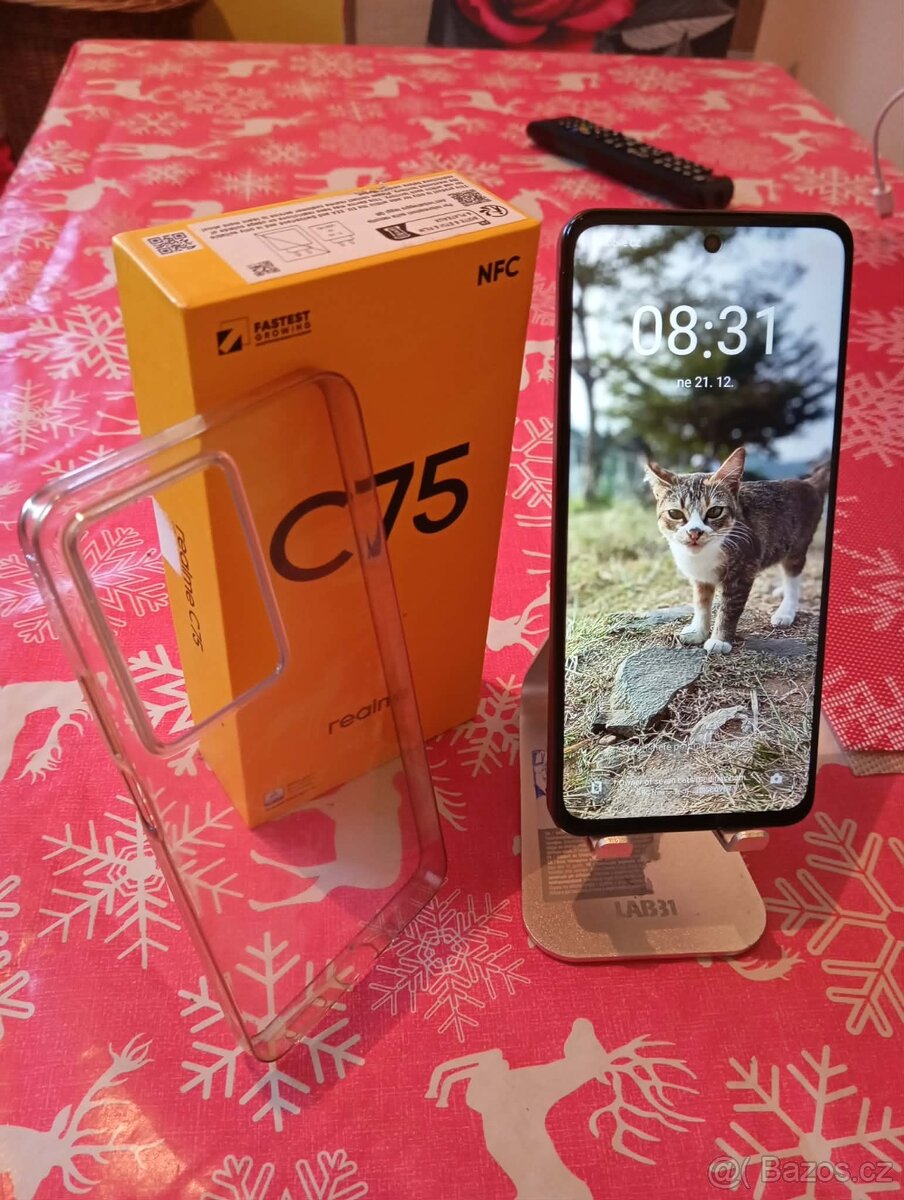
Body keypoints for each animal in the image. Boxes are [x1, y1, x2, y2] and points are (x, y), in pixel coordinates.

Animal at [644, 447, 829, 654]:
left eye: (715, 511)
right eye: (675, 513)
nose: (694, 532)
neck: (704, 555)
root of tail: (808, 483)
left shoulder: (743, 569)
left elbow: (729, 607)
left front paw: (720, 639)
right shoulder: (701, 577)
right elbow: (701, 602)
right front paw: (698, 630)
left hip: (796, 546)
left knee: (793, 576)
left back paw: (786, 610)